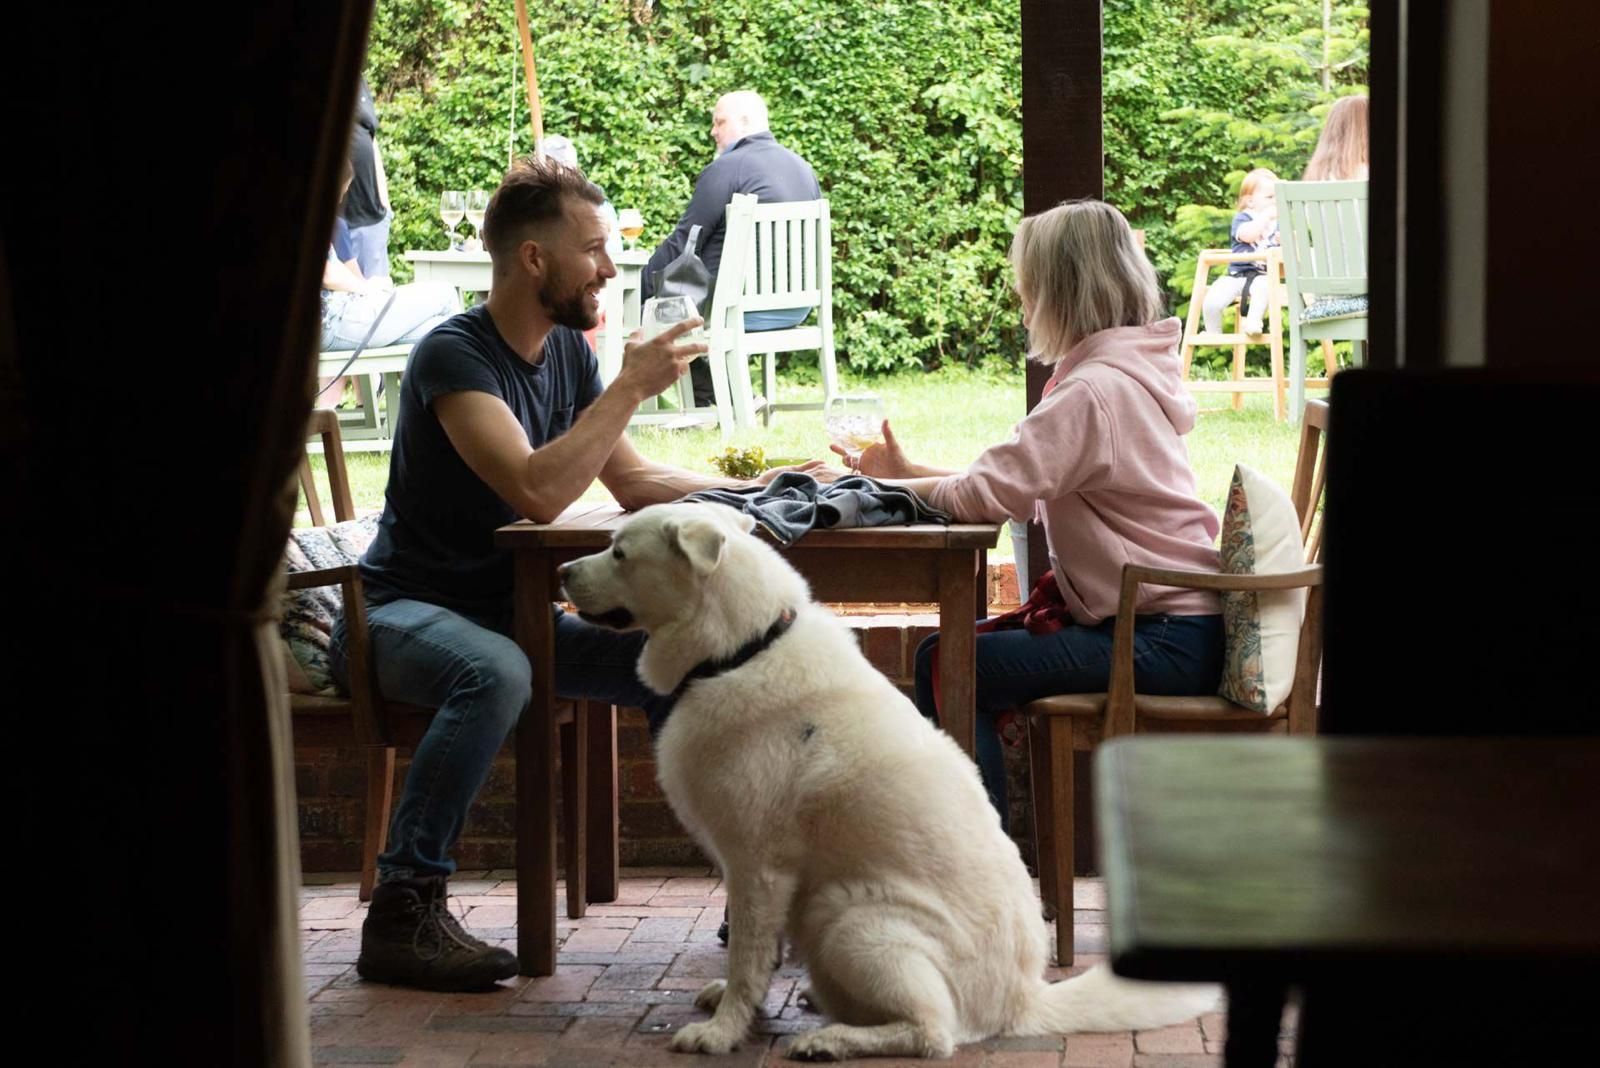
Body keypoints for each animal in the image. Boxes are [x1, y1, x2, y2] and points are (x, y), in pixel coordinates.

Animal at [559, 503, 1218, 1060]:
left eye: (619, 552)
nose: (562, 571)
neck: (742, 650)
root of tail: (1023, 1002)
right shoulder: (759, 875)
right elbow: (760, 956)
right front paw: (737, 1009)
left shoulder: (757, 866)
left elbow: (748, 955)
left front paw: (723, 1032)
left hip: (845, 915)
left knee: (934, 1032)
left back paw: (832, 1040)